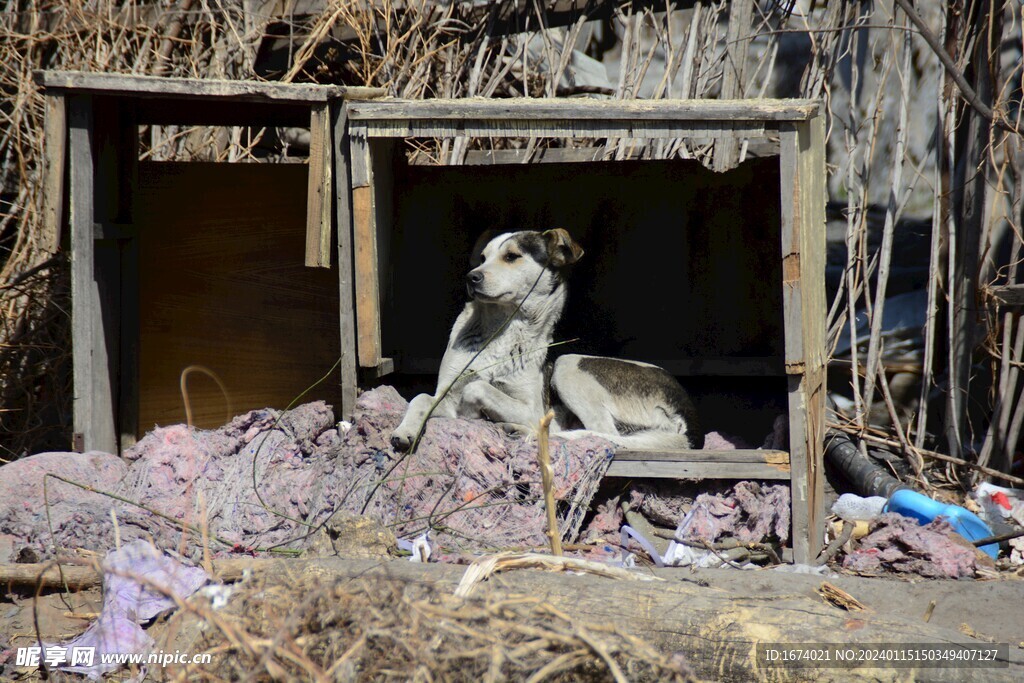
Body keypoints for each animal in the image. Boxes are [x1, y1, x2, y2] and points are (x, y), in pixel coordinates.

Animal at [385, 229, 704, 450]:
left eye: (511, 256)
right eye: (483, 258)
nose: (471, 277)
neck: (502, 331)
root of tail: (691, 422)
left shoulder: (533, 406)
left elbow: (478, 387)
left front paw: (478, 411)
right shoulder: (445, 394)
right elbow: (422, 398)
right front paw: (406, 430)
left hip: (569, 365)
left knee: (600, 434)